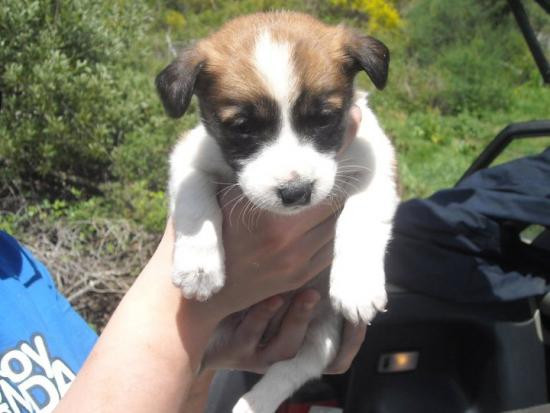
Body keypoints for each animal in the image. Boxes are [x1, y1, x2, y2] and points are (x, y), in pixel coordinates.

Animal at [156, 12, 398, 413]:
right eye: (242, 127)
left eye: (323, 118)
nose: (295, 193)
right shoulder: (190, 154)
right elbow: (195, 202)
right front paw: (199, 268)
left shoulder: (377, 165)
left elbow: (361, 219)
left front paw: (357, 285)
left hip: (323, 335)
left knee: (293, 369)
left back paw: (251, 403)